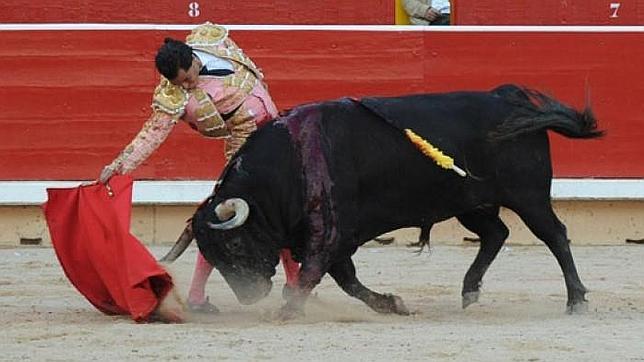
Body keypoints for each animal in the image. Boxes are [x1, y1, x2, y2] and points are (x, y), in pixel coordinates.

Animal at [176, 84, 604, 316]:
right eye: (211, 253)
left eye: (235, 243)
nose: (249, 297)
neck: (286, 166)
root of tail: (509, 98)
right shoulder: (327, 237)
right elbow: (347, 280)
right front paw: (391, 304)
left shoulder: (330, 231)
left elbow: (316, 274)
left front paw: (287, 309)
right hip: (472, 203)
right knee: (496, 234)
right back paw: (469, 291)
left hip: (529, 196)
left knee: (555, 235)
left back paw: (576, 300)